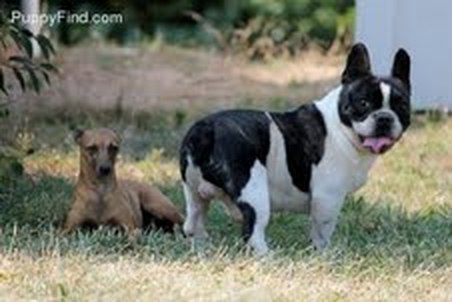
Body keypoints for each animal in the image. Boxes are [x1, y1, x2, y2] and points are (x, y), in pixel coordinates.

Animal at [179, 43, 410, 255]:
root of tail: (206, 129)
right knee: (252, 231)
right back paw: (268, 257)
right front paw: (324, 255)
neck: (341, 128)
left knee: (193, 223)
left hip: (194, 192)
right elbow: (322, 232)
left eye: (402, 106)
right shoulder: (328, 198)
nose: (384, 118)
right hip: (253, 192)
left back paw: (203, 251)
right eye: (363, 103)